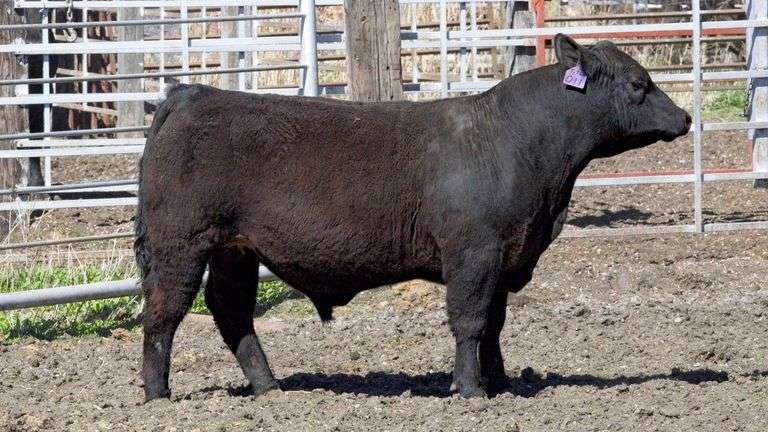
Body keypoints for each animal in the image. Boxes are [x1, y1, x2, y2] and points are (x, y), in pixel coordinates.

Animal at [134, 34, 691, 401]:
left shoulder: (506, 255)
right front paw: (470, 390)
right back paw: (158, 395)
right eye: (639, 83)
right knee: (164, 311)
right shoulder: (474, 253)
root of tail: (193, 94)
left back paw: (271, 388)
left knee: (231, 311)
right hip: (181, 242)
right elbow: (470, 320)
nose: (685, 118)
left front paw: (501, 383)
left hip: (236, 249)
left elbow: (495, 325)